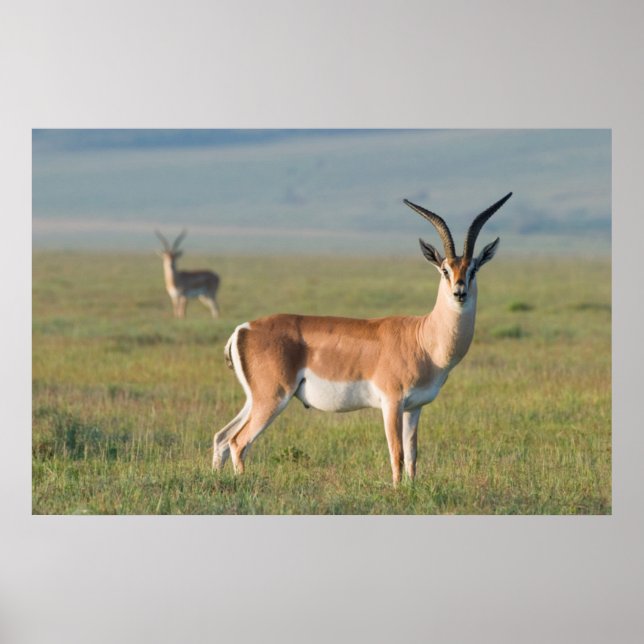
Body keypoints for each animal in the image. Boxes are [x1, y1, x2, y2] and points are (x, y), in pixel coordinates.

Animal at [212, 193, 512, 485]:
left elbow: (412, 455)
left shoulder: (414, 408)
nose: (459, 292)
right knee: (239, 442)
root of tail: (243, 329)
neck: (423, 340)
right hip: (273, 397)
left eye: (473, 269)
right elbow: (397, 454)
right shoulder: (391, 402)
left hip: (255, 399)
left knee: (222, 437)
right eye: (444, 269)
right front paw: (397, 492)